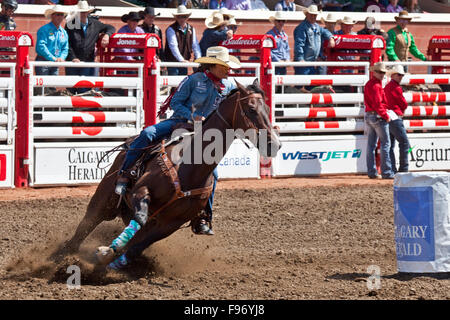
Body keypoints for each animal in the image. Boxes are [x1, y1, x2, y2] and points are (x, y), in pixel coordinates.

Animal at [56, 80, 282, 268]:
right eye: (251, 109)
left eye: (268, 108)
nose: (275, 144)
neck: (189, 164)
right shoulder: (140, 191)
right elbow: (139, 218)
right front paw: (109, 249)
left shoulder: (171, 224)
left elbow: (138, 246)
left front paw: (113, 259)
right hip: (104, 200)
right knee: (84, 229)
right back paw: (60, 255)